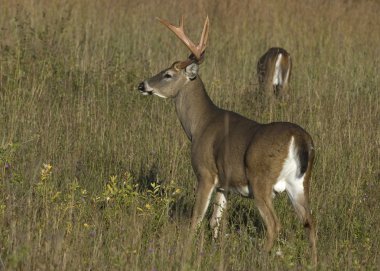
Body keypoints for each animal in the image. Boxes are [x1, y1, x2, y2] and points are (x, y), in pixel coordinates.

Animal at [138, 15, 316, 266]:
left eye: (167, 74)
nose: (142, 85)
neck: (199, 125)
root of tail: (300, 139)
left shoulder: (206, 173)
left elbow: (196, 218)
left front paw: (186, 252)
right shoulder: (225, 184)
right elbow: (215, 221)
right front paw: (213, 250)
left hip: (261, 181)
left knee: (274, 225)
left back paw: (259, 258)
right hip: (300, 184)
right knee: (310, 223)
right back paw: (314, 261)